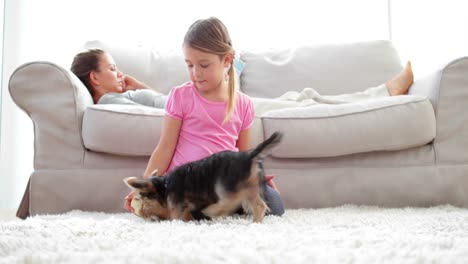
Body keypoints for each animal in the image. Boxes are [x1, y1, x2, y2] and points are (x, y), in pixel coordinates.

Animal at [123, 131, 282, 222]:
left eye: (141, 199)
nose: (141, 214)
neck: (164, 186)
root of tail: (250, 156)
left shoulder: (176, 205)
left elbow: (175, 216)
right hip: (251, 187)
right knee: (259, 205)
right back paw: (256, 222)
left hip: (226, 184)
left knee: (231, 200)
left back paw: (214, 211)